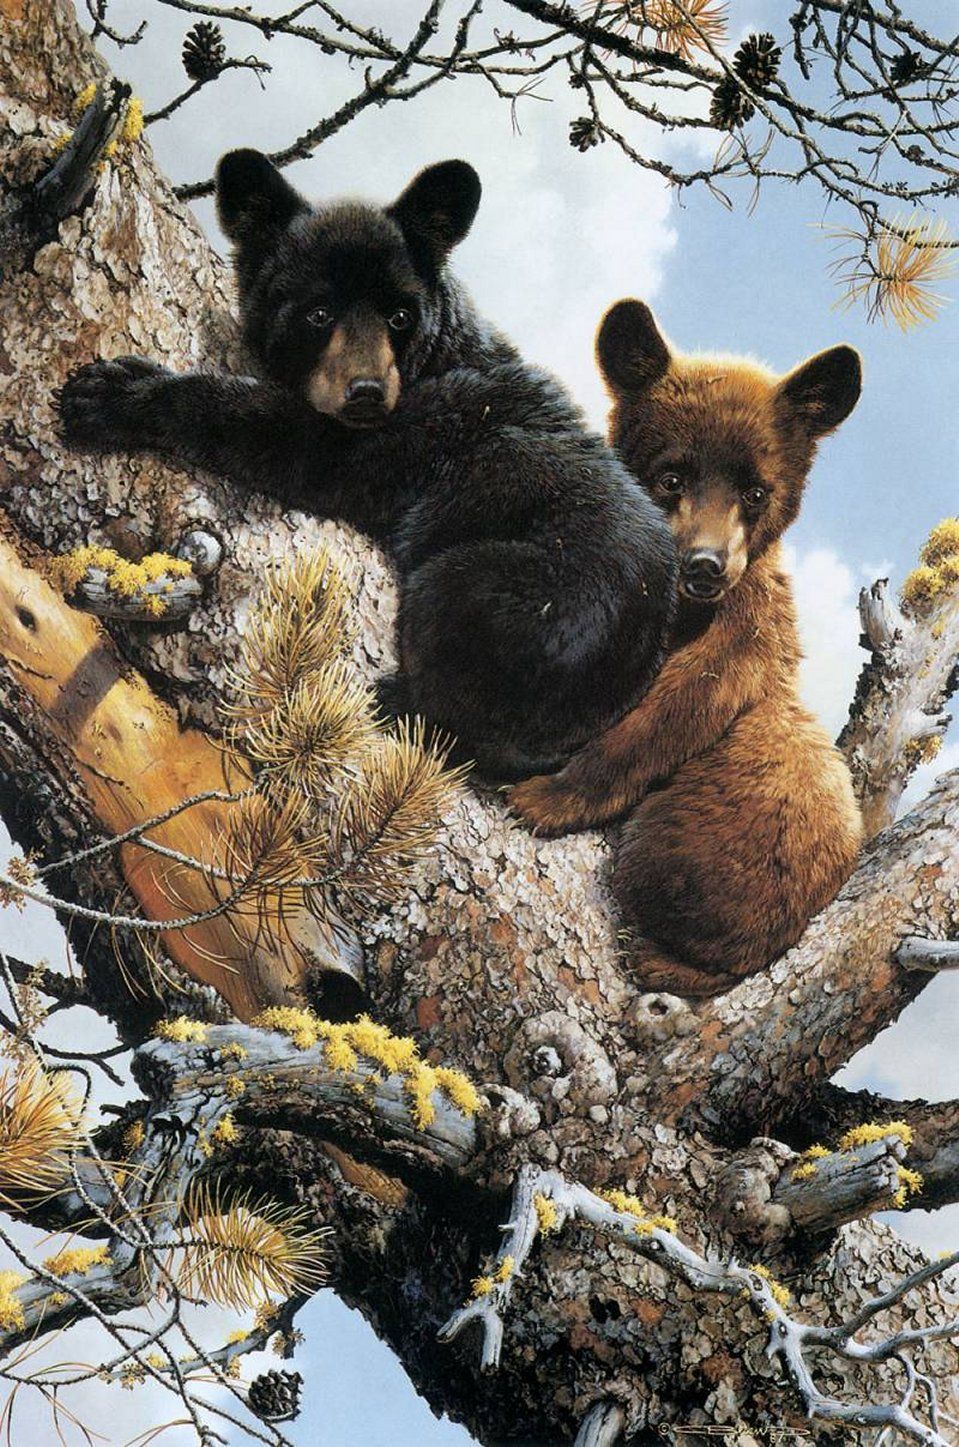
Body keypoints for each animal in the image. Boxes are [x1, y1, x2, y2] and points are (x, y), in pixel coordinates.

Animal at [57, 152, 677, 781]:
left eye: (400, 315)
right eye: (317, 312)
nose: (366, 393)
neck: (439, 362)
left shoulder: (423, 432)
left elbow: (288, 440)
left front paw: (116, 393)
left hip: (507, 596)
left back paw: (399, 698)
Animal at [510, 299, 864, 998]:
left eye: (756, 491)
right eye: (671, 476)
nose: (705, 565)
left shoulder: (743, 637)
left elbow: (671, 713)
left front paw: (543, 798)